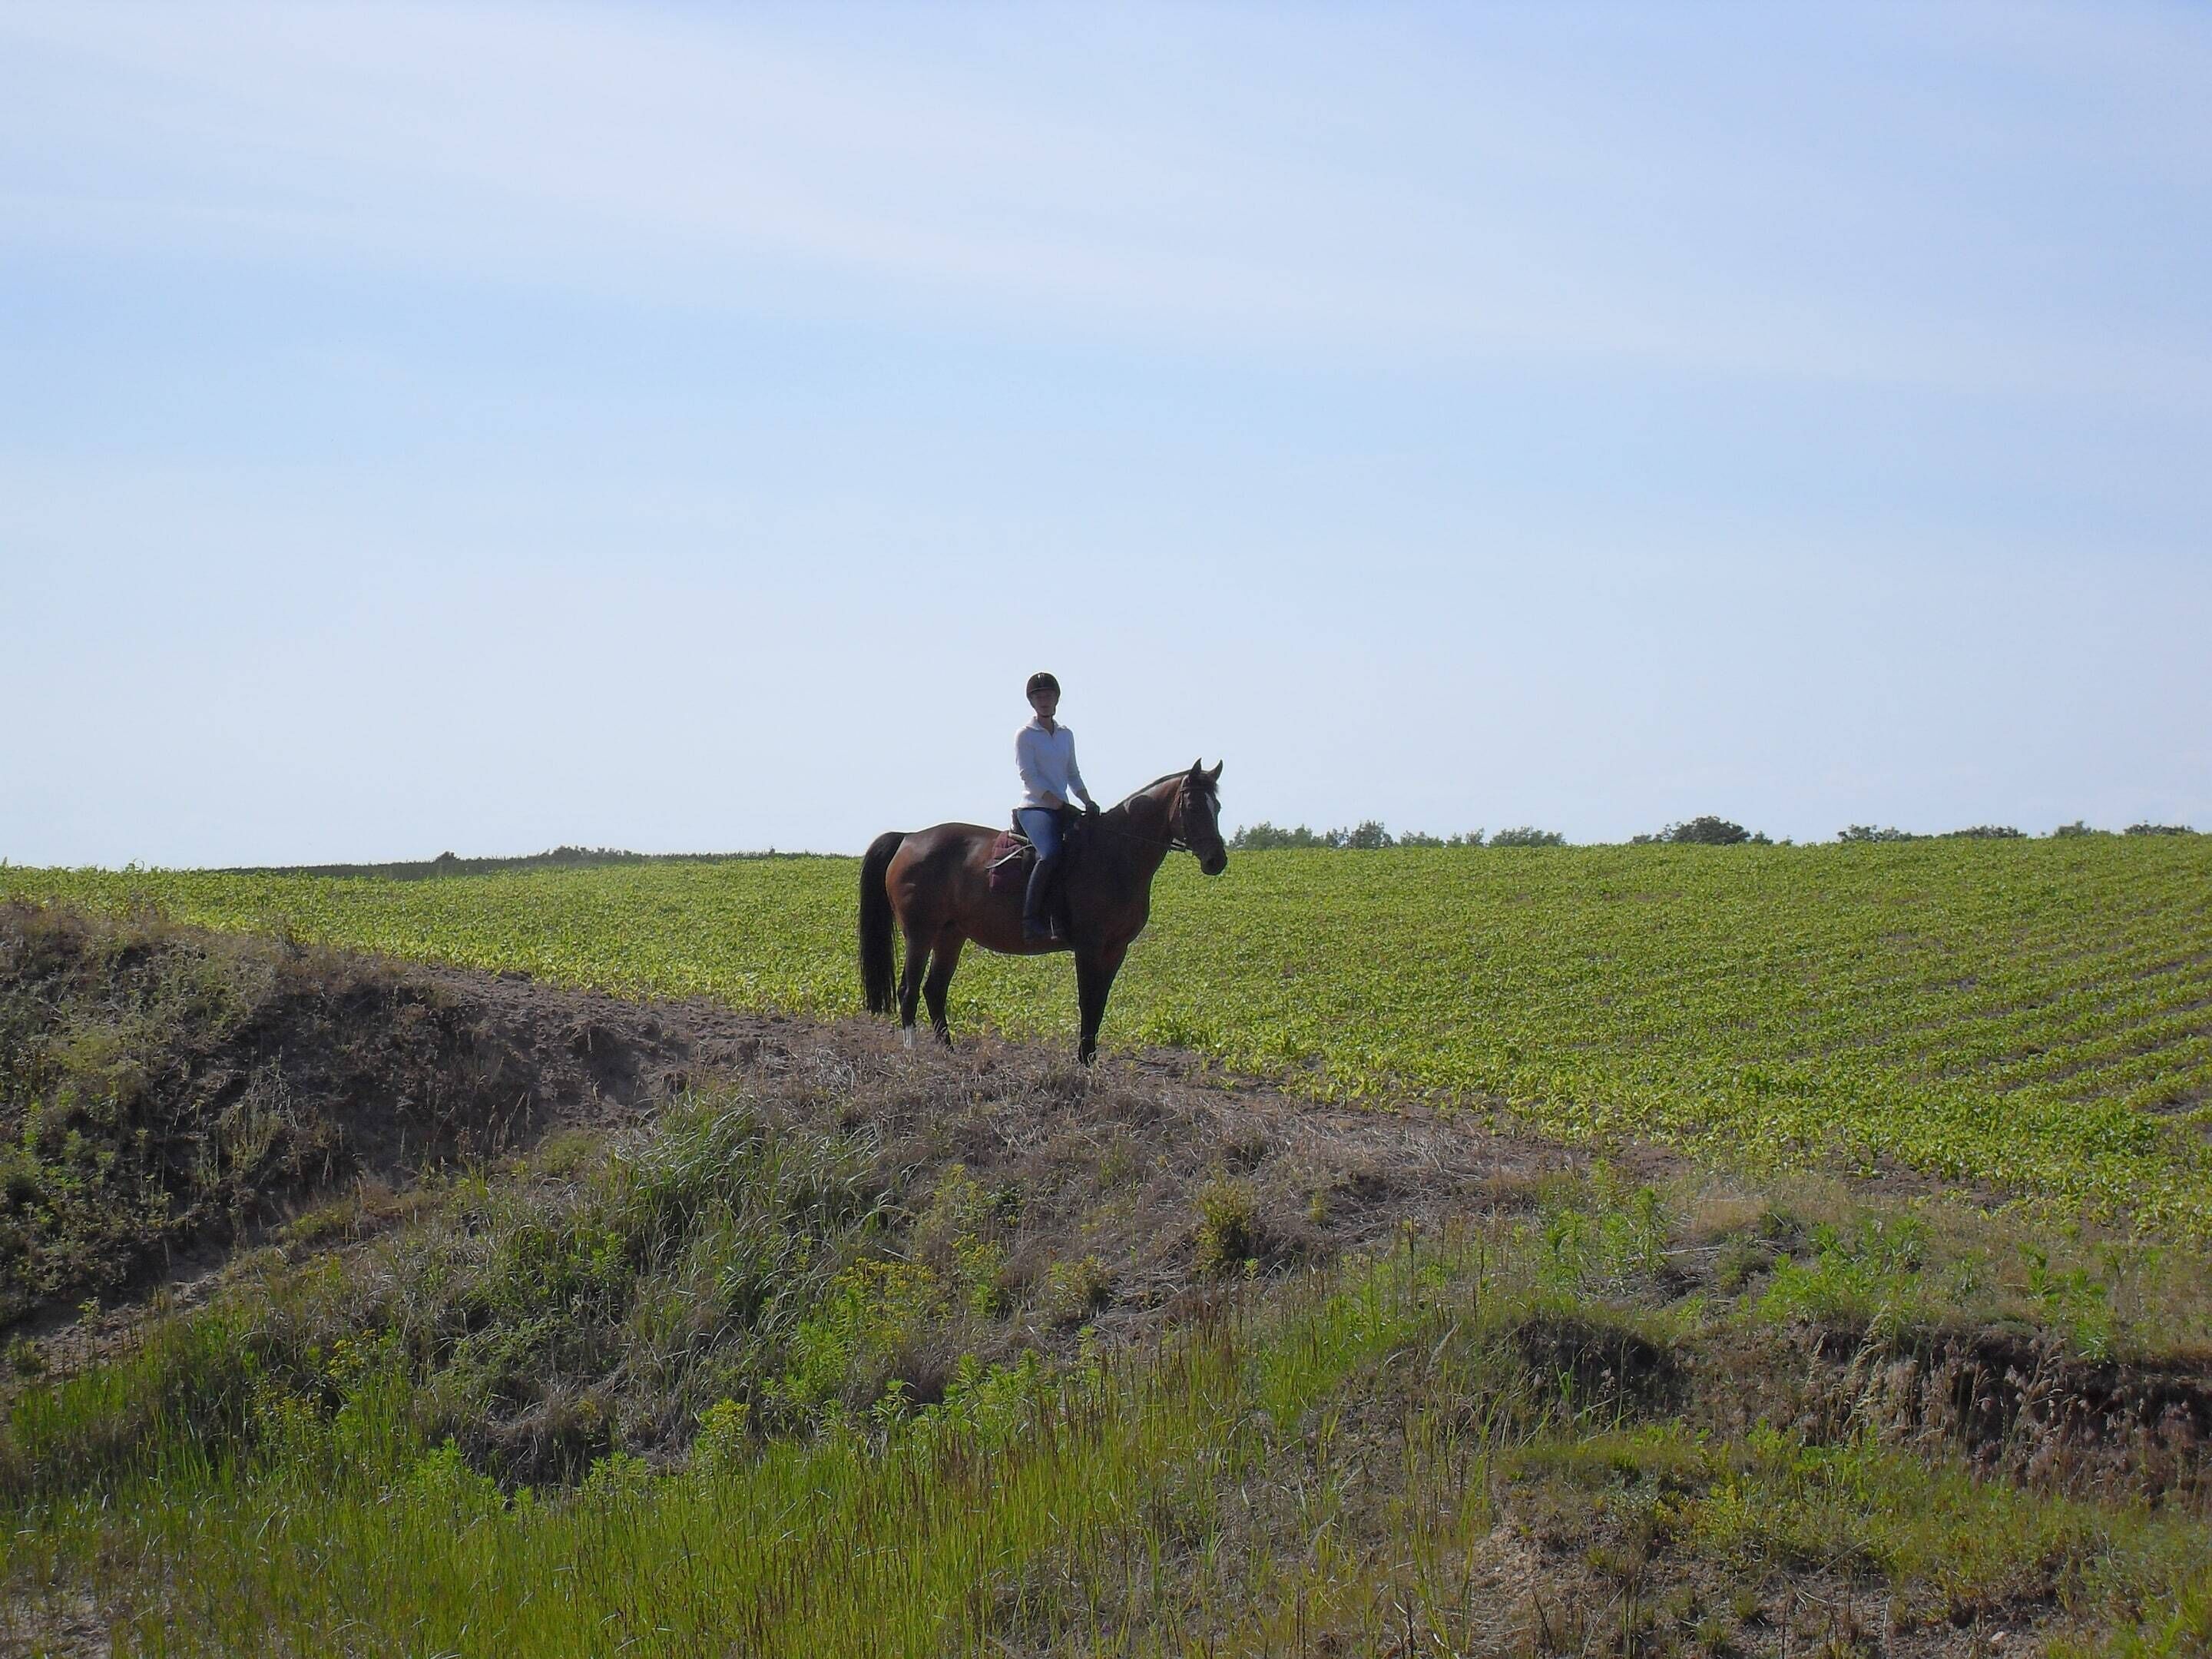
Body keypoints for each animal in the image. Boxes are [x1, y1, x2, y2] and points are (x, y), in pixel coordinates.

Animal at [859, 761, 1227, 1062]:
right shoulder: (1089, 946)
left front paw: (1091, 1063)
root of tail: (910, 838)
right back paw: (914, 1054)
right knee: (908, 991)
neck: (1115, 854)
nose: (1217, 861)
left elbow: (1099, 1004)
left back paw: (949, 1054)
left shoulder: (1116, 949)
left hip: (951, 935)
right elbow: (1087, 1001)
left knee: (934, 990)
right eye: (1192, 805)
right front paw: (1084, 1063)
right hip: (920, 935)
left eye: (1217, 806)